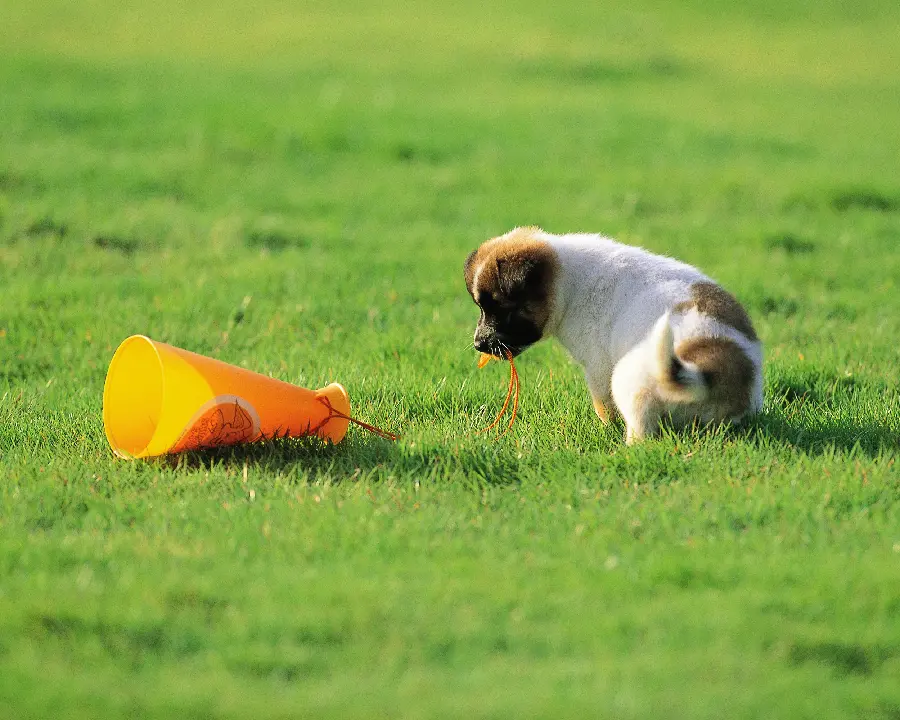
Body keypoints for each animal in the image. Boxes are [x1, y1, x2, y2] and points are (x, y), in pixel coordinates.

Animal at [468, 228, 764, 444]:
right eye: (481, 307)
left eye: (502, 308)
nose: (478, 344)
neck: (569, 281)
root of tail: (709, 374)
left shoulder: (598, 367)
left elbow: (603, 405)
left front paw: (607, 427)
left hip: (627, 379)